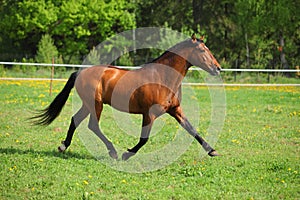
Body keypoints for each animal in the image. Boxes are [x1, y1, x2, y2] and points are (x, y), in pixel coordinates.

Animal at [31, 33, 221, 160]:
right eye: (202, 50)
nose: (218, 68)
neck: (163, 78)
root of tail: (81, 72)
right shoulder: (149, 114)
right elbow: (144, 139)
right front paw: (126, 154)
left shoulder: (175, 110)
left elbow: (192, 129)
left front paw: (212, 150)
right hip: (96, 104)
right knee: (93, 125)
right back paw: (113, 152)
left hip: (88, 104)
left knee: (76, 120)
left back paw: (63, 146)